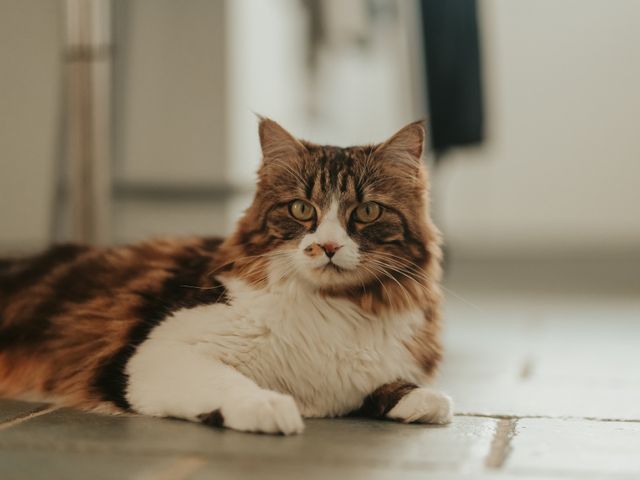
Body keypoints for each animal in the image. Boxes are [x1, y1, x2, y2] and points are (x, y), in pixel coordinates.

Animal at [0, 119, 450, 436]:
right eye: (302, 209)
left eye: (367, 212)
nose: (327, 247)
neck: (331, 309)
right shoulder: (159, 351)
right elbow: (230, 383)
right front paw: (270, 406)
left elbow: (400, 388)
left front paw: (422, 399)